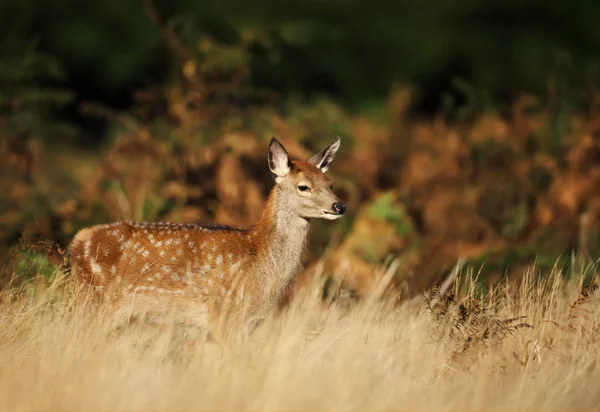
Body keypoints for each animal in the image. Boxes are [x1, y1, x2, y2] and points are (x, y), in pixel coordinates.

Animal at [68, 137, 344, 334]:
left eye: (330, 184)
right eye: (304, 187)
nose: (339, 206)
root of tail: (76, 242)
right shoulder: (225, 314)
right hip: (95, 303)